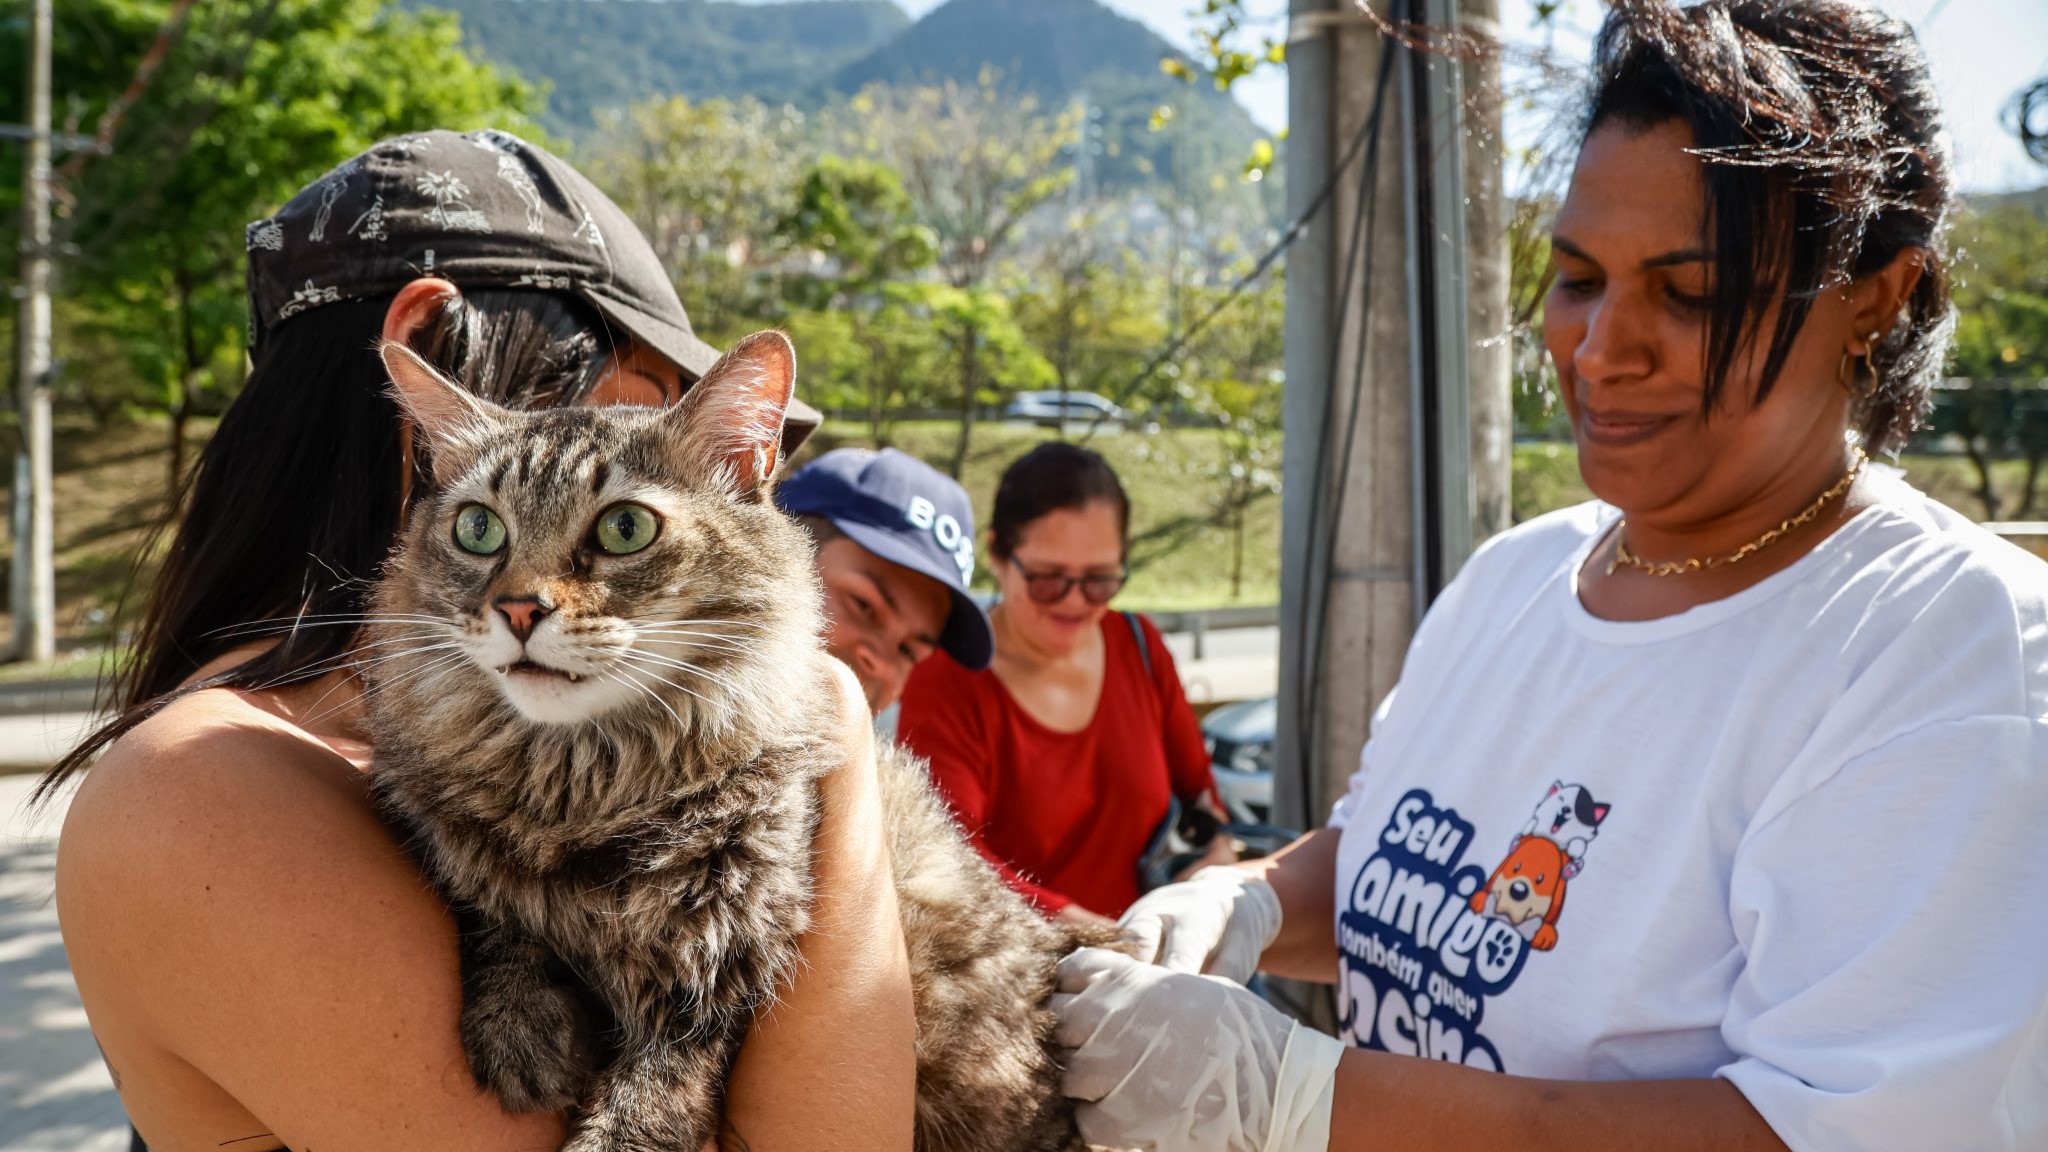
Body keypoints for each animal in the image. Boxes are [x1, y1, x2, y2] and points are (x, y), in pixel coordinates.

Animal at [360, 332, 1114, 1147]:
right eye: (478, 529)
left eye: (625, 529)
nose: (519, 609)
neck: (580, 787)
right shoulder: (448, 841)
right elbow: (496, 916)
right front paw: (522, 1028)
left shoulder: (723, 974)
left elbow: (642, 1116)